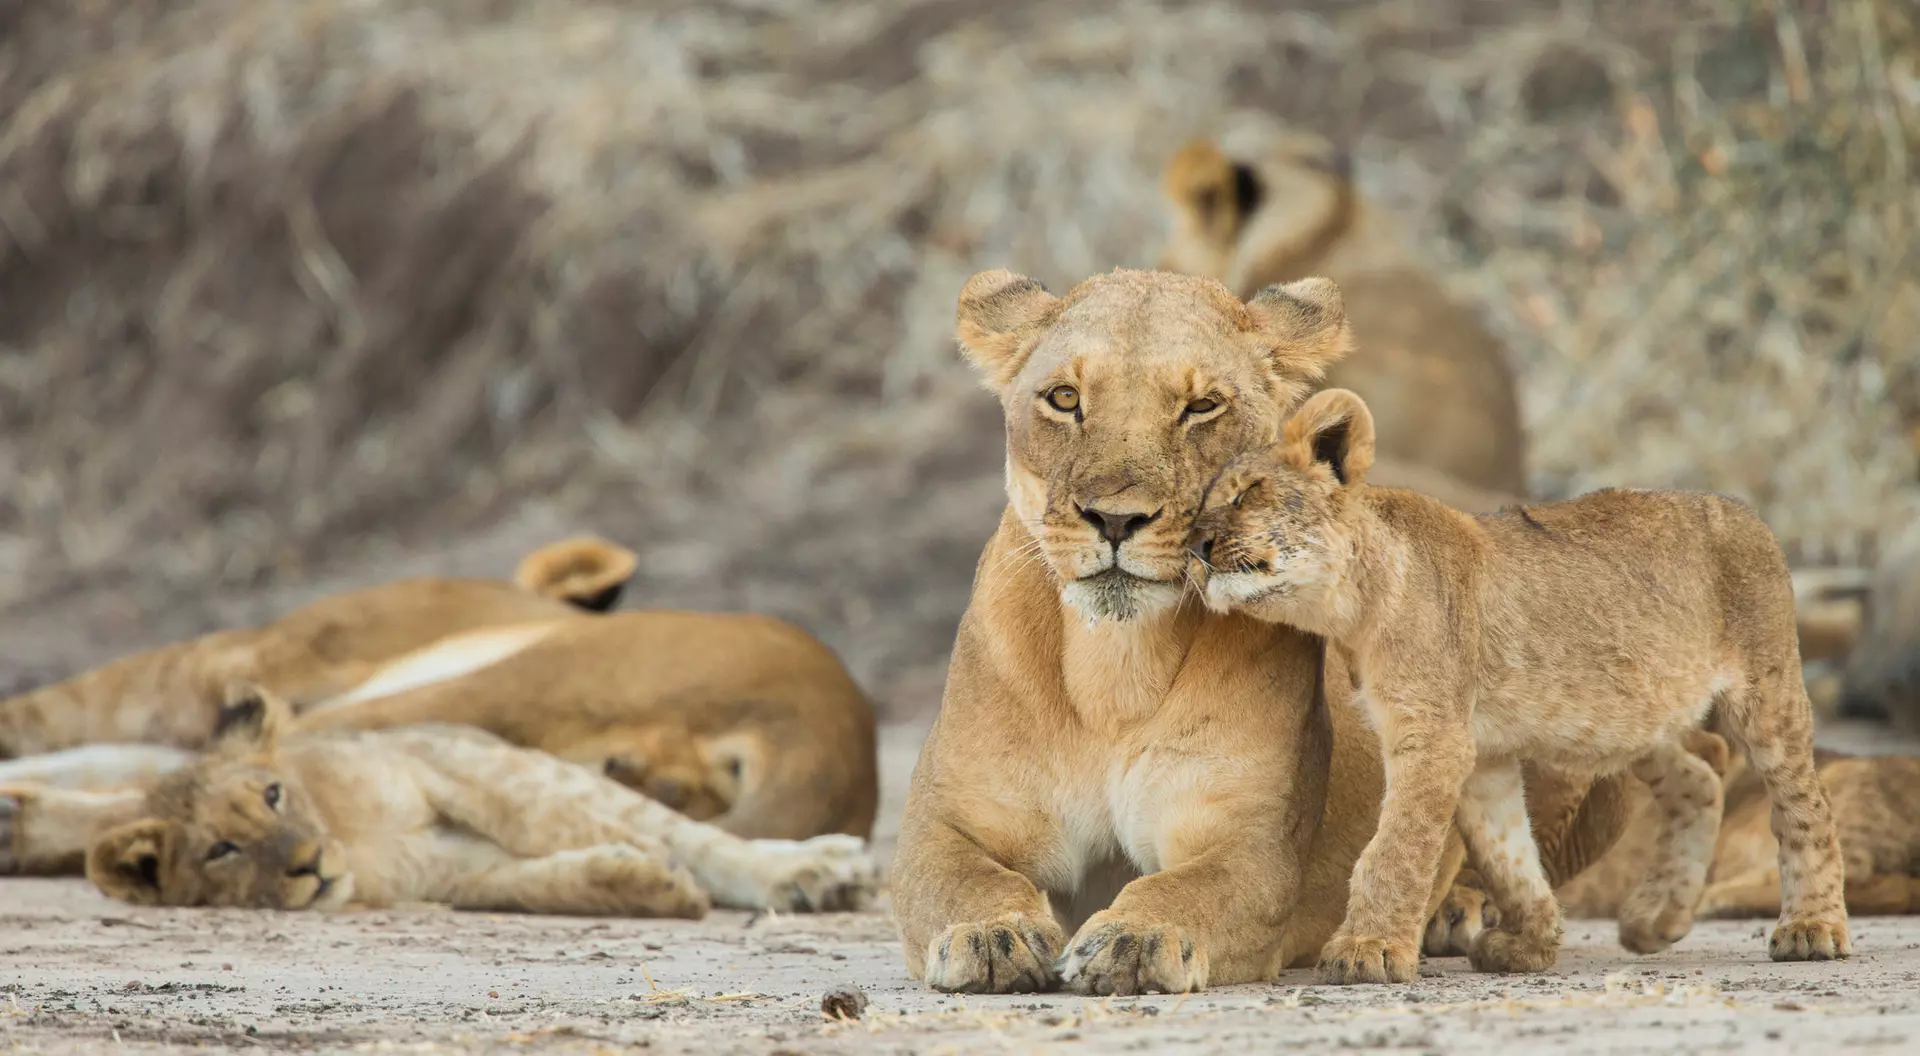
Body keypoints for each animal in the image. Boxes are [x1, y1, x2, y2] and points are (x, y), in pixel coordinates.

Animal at [0, 538, 878, 841]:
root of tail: (837, 728)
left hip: (506, 686)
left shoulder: (222, 663)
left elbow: (49, 715)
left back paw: (26, 825)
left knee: (246, 770)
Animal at [0, 688, 877, 915]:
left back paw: (819, 871)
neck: (351, 835)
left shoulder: (447, 764)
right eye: (221, 849)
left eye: (274, 794)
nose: (309, 865)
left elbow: (548, 818)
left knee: (706, 836)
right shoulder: (447, 869)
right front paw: (642, 883)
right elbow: (537, 880)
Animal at [889, 268, 1626, 998]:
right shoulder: (946, 823)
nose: (1116, 519)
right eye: (1064, 398)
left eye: (1202, 406)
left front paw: (1134, 937)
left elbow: (1183, 888)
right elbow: (962, 879)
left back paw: (1459, 914)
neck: (1114, 669)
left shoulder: (1252, 843)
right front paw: (993, 934)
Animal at [1188, 387, 1851, 984]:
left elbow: (1396, 848)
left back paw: (1812, 928)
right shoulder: (1485, 753)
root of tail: (1745, 510)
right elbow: (1508, 855)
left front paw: (1366, 950)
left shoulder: (1434, 738)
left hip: (1768, 694)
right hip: (1638, 719)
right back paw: (1656, 918)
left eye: (1247, 493)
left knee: (1806, 805)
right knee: (1701, 774)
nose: (1196, 545)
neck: (1351, 606)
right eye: (1200, 509)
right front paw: (1529, 945)